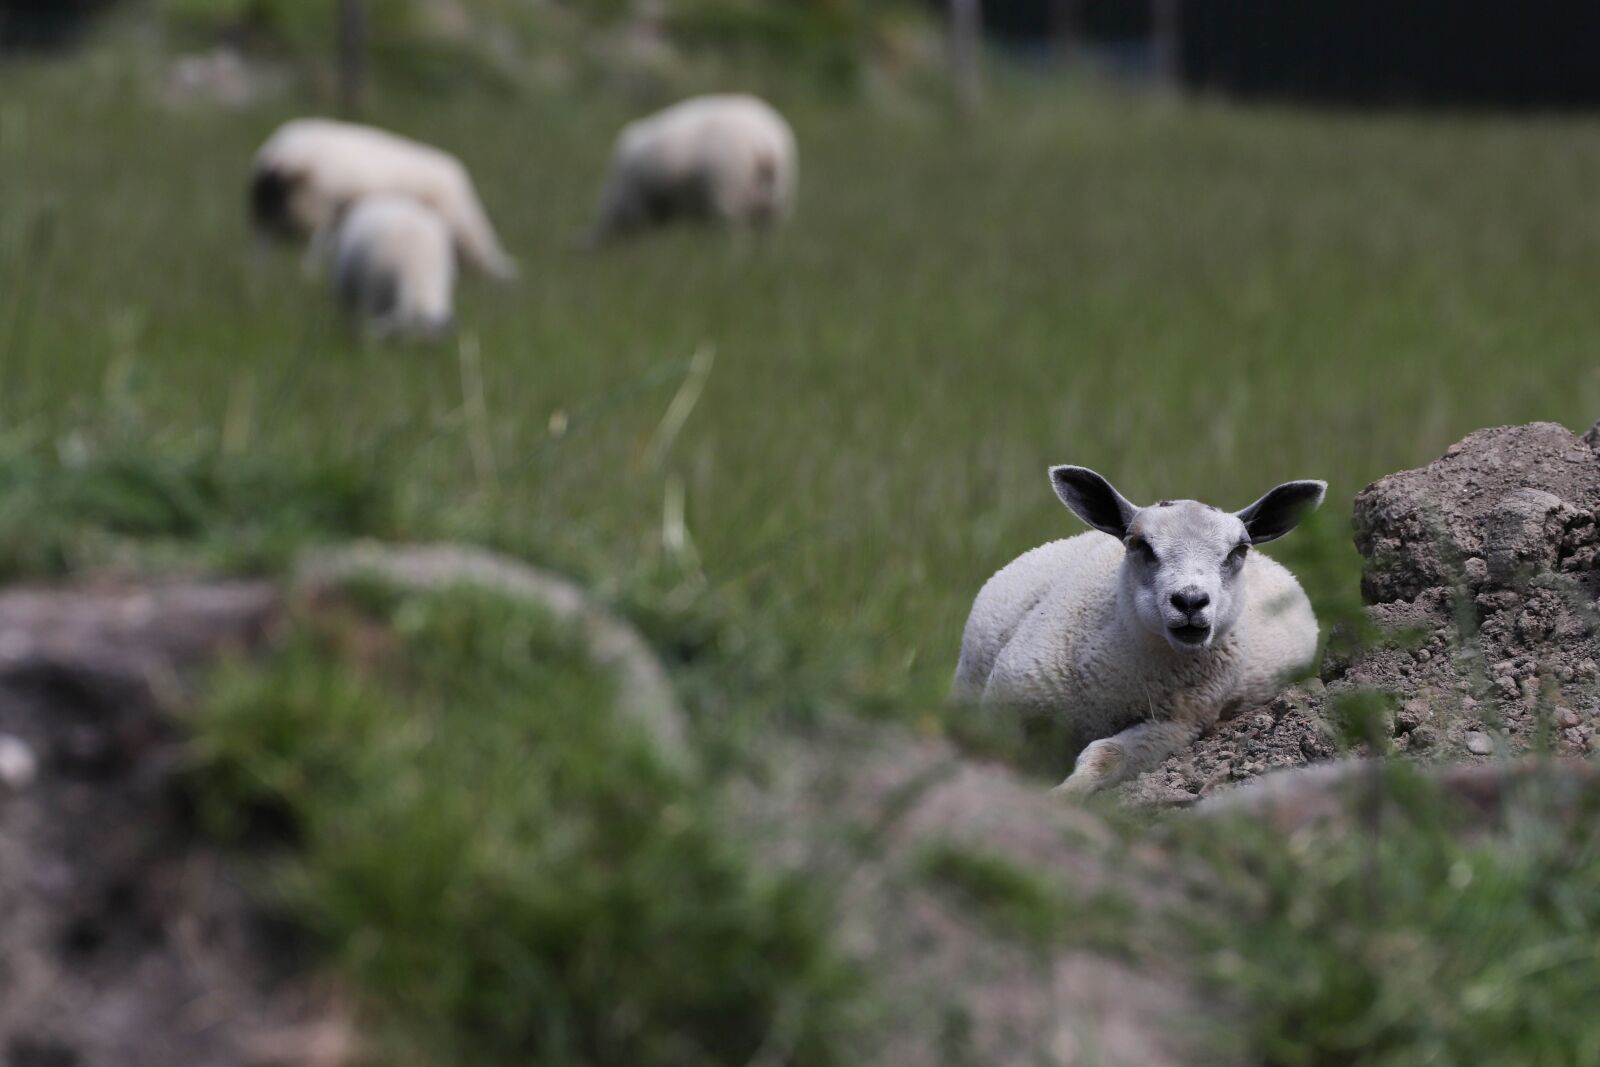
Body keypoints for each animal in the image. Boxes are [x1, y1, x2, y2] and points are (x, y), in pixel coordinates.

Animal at [248, 118, 518, 281]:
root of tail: (280, 152)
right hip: (314, 206)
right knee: (310, 248)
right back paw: (305, 276)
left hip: (267, 207)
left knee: (262, 245)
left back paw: (260, 277)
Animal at [588, 93, 793, 241]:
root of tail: (763, 143)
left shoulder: (639, 207)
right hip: (776, 204)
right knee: (769, 237)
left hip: (730, 196)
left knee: (739, 239)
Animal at [953, 463, 1318, 796]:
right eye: (1139, 544)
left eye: (1239, 549)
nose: (1190, 601)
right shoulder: (1005, 700)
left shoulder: (1176, 726)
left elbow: (1106, 756)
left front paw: (1066, 793)